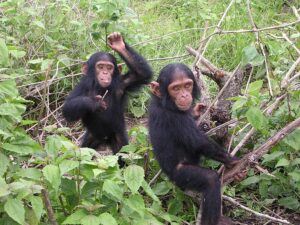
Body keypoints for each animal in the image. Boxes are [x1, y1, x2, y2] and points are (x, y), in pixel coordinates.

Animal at [149, 63, 239, 225]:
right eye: (176, 88)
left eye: (187, 85)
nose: (184, 95)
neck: (164, 102)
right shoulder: (175, 118)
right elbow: (198, 142)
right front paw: (233, 161)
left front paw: (198, 109)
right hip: (181, 175)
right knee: (210, 180)